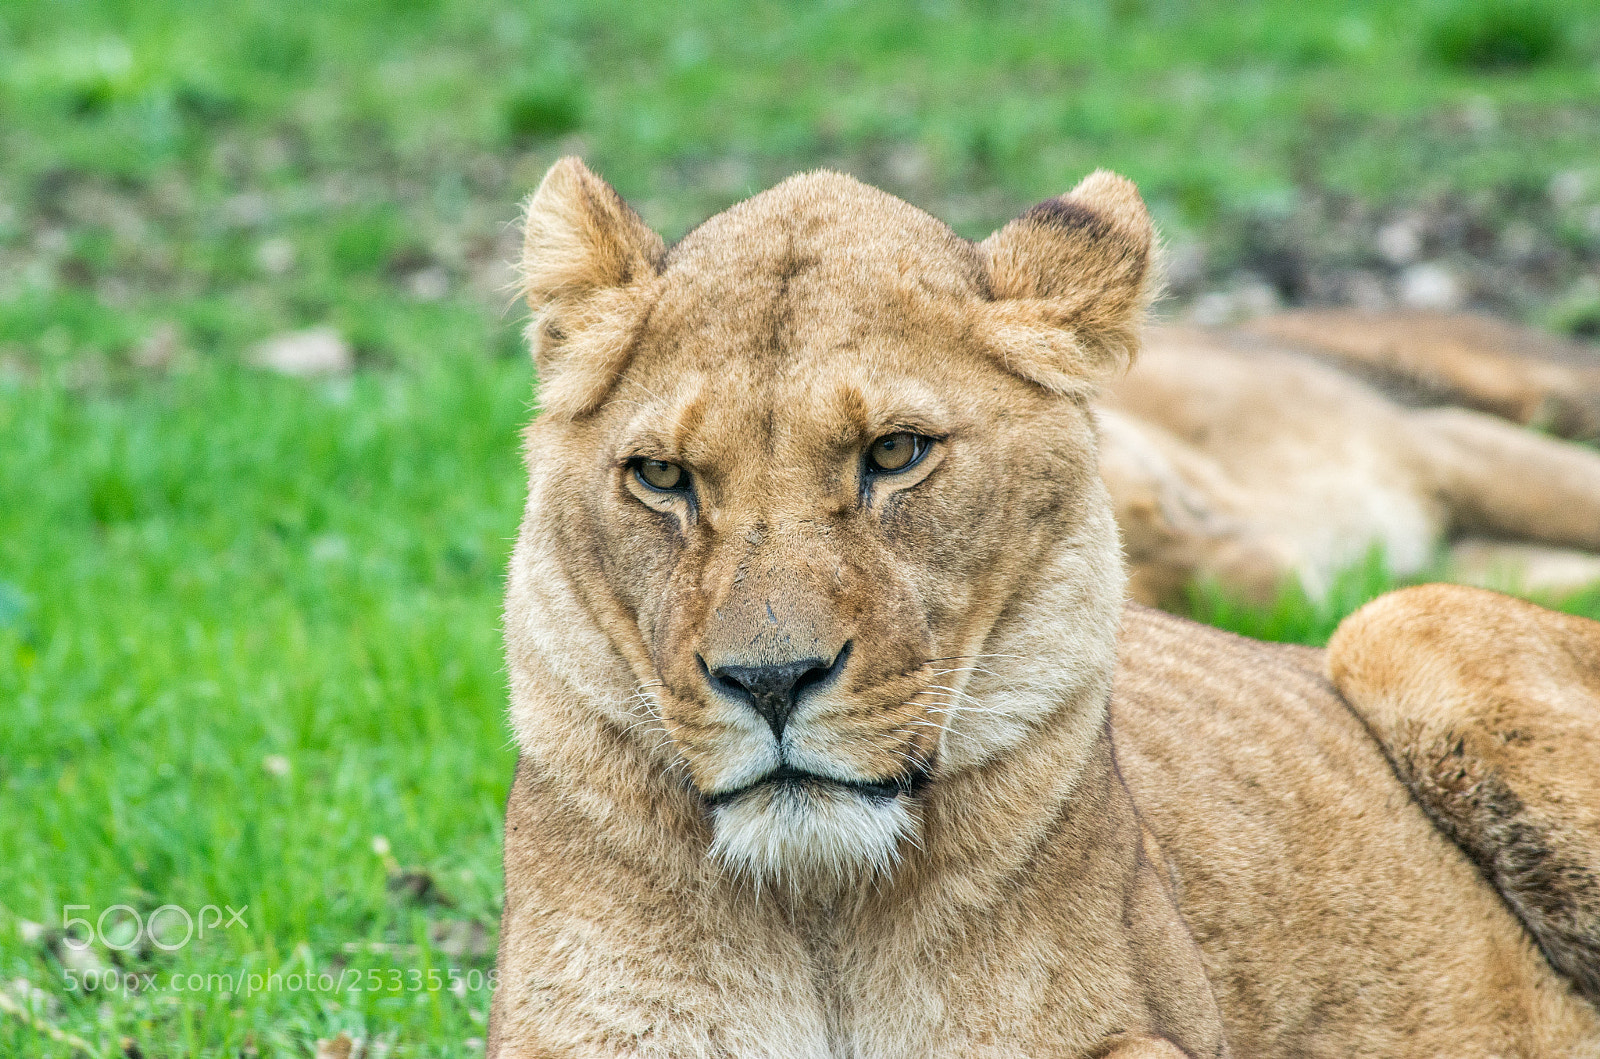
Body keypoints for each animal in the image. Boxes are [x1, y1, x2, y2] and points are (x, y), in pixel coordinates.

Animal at [489, 158, 1600, 1057]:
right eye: (661, 476)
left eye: (895, 453)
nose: (769, 681)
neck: (822, 917)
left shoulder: (1151, 1030)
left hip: (1399, 616)